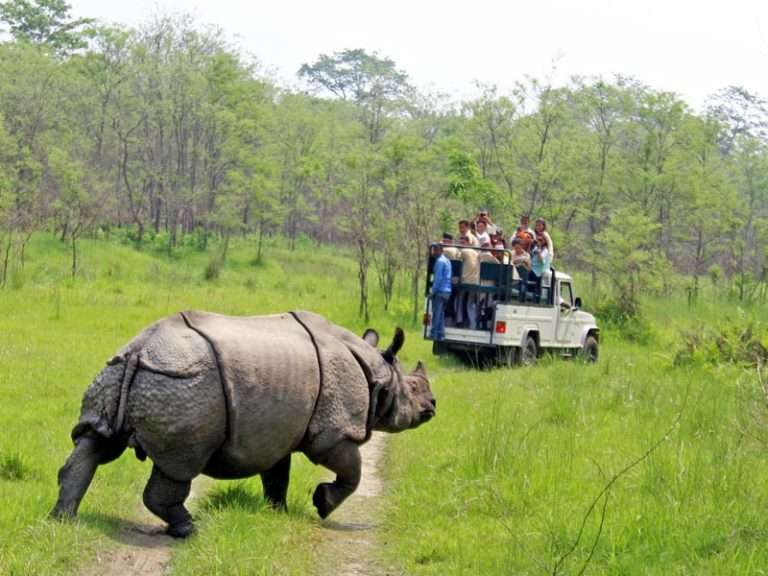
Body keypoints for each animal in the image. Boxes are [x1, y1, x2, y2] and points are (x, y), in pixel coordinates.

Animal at [50, 310, 435, 537]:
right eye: (414, 390)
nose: (432, 407)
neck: (377, 373)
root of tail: (140, 351)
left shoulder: (278, 432)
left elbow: (277, 475)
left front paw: (277, 512)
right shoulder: (335, 430)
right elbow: (351, 472)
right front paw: (323, 504)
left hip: (117, 374)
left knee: (95, 443)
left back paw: (62, 520)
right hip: (185, 384)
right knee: (180, 463)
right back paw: (189, 530)